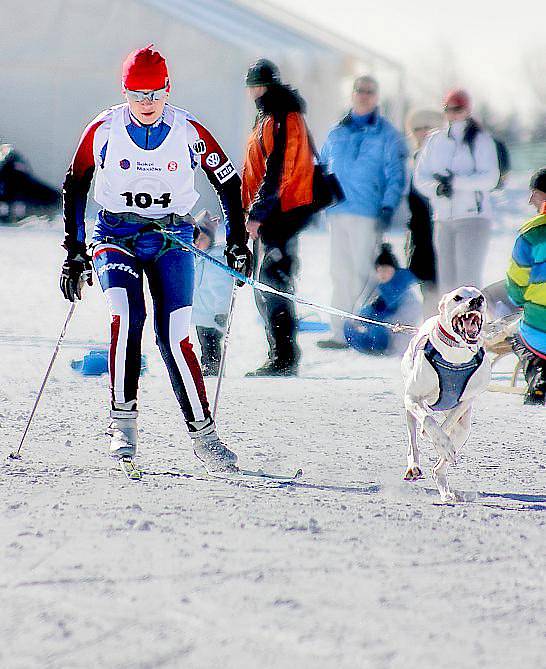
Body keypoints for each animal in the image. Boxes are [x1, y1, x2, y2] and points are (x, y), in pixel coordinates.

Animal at [400, 288, 488, 500]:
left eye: (481, 296)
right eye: (457, 297)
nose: (476, 301)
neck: (455, 356)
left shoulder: (468, 398)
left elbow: (450, 420)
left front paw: (442, 442)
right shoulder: (412, 398)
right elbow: (429, 420)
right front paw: (436, 437)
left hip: (464, 429)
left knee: (439, 467)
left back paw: (445, 489)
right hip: (409, 410)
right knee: (413, 442)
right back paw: (414, 466)